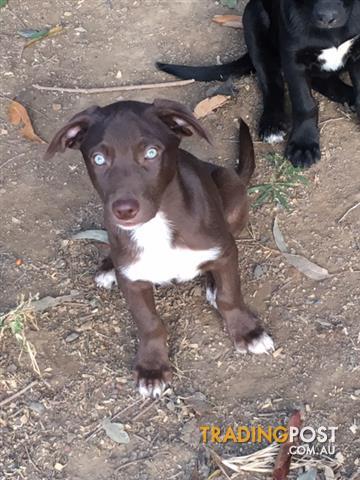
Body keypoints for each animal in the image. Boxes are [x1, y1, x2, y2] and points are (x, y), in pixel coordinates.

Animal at [46, 98, 274, 398]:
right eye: (98, 159)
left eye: (151, 153)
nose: (124, 210)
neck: (156, 225)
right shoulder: (132, 281)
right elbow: (149, 324)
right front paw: (152, 368)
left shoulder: (225, 251)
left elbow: (230, 296)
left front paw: (248, 332)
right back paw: (108, 266)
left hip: (232, 191)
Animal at [157, 0, 360, 167]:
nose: (327, 17)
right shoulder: (292, 59)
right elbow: (304, 104)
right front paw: (304, 143)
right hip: (253, 23)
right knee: (272, 84)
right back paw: (272, 123)